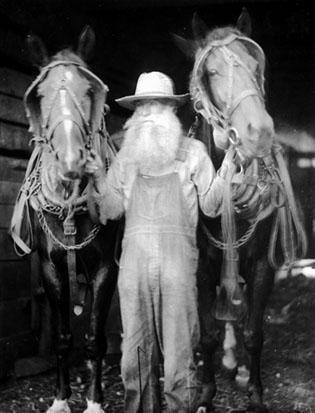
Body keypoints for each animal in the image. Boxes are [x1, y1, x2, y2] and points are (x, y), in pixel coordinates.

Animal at [10, 26, 118, 412]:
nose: (72, 161)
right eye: (39, 95)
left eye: (89, 90)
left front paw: (95, 401)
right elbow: (61, 337)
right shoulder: (51, 267)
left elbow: (95, 337)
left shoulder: (106, 268)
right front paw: (61, 398)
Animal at [174, 8, 308, 412]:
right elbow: (207, 332)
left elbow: (253, 331)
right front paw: (206, 393)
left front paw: (256, 394)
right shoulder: (202, 267)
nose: (259, 131)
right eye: (211, 71)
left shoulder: (263, 264)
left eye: (253, 64)